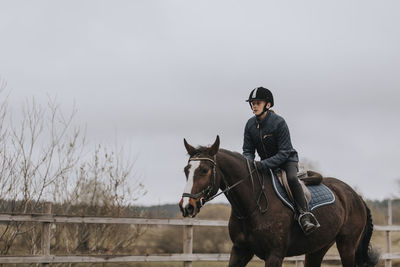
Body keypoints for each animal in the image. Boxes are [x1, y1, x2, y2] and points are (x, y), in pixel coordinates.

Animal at [178, 137, 378, 266]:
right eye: (186, 170)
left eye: (204, 170)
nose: (186, 206)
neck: (252, 206)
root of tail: (356, 196)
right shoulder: (240, 250)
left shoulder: (274, 255)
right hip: (318, 247)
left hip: (347, 245)